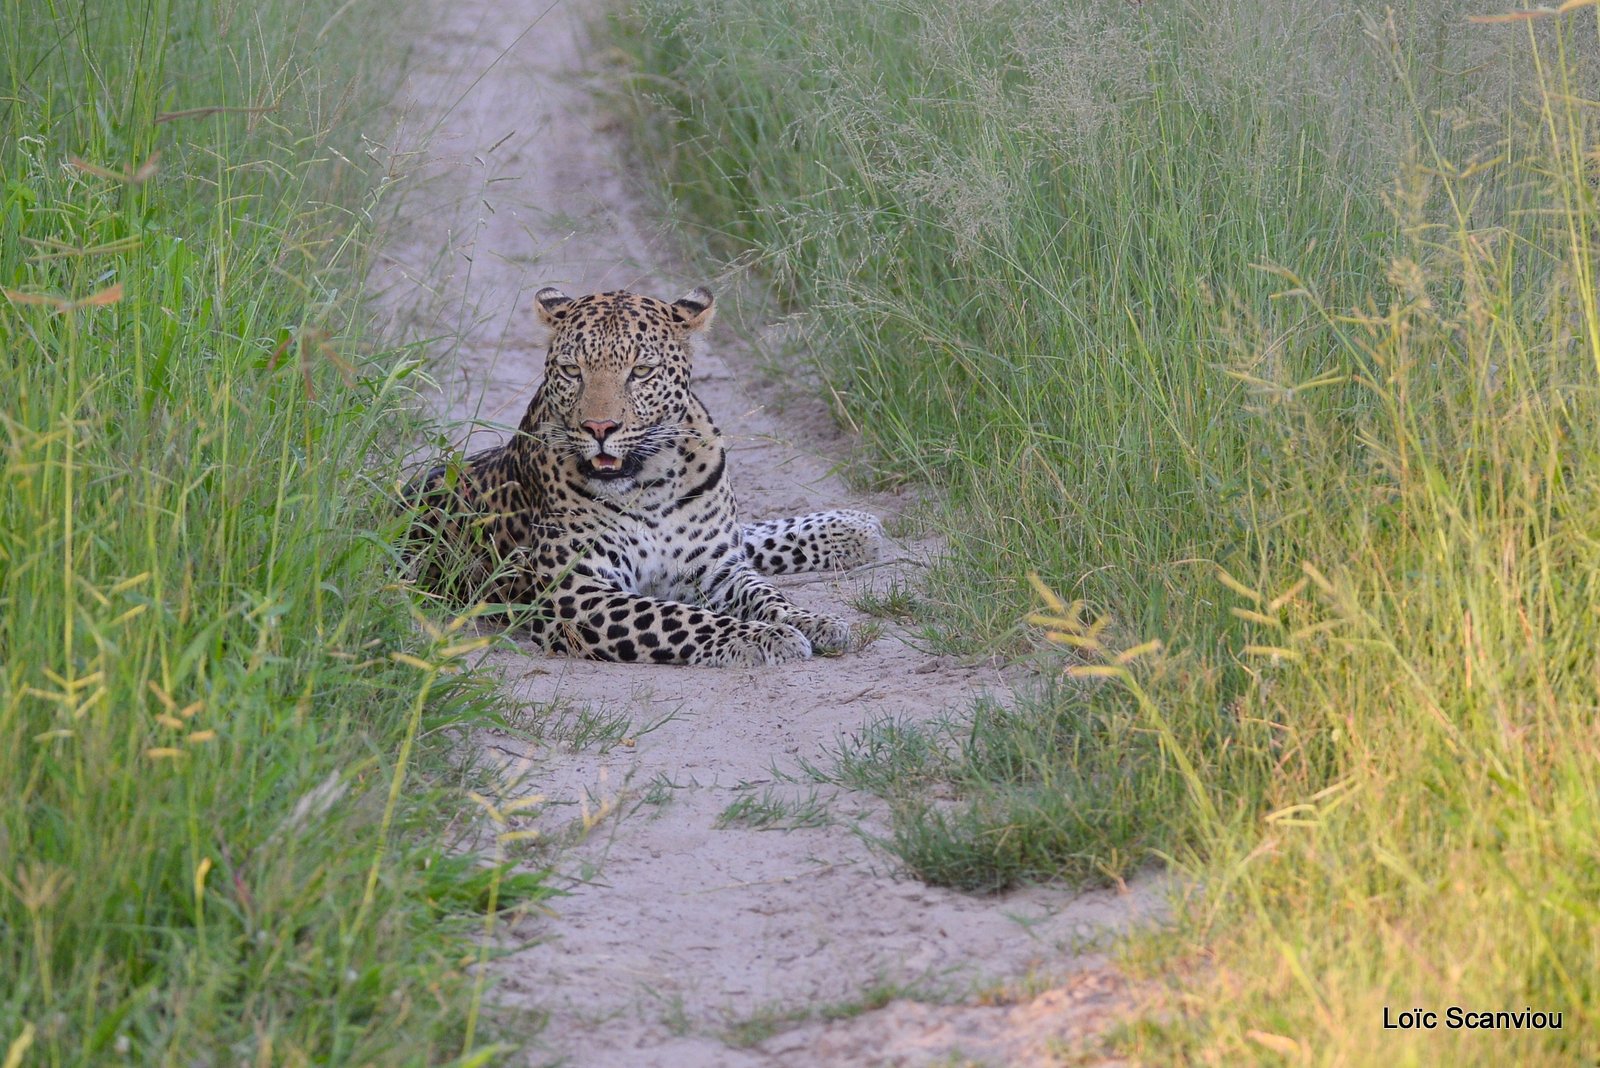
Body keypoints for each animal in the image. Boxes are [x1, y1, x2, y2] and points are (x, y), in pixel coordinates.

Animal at [396, 287, 876, 661]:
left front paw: (810, 620)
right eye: (572, 371)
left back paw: (852, 528)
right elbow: (677, 616)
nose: (599, 428)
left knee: (748, 536)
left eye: (640, 372)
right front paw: (763, 637)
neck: (651, 484)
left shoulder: (718, 568)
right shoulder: (575, 594)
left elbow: (768, 594)